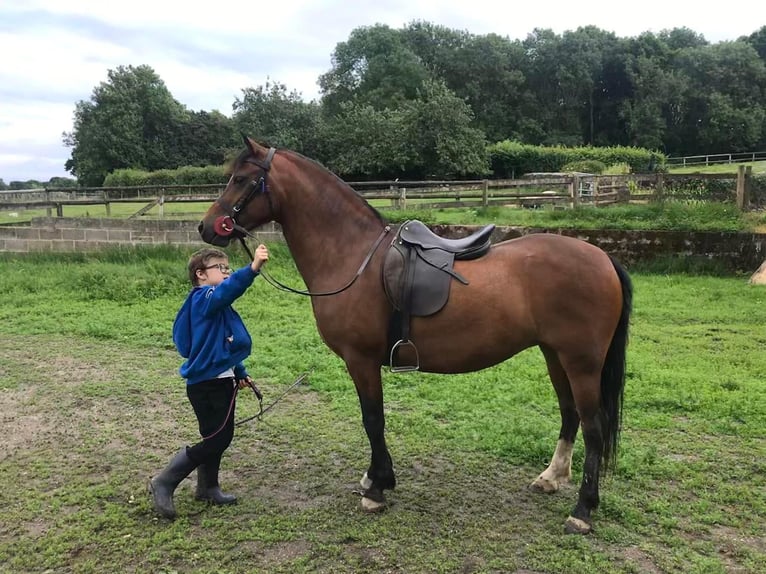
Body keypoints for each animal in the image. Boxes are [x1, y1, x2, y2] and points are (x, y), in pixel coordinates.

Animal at [200, 138, 636, 536]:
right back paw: (551, 477)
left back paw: (583, 510)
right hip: (554, 354)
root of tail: (603, 258)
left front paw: (377, 488)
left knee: (593, 426)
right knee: (570, 413)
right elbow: (374, 420)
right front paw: (375, 478)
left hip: (581, 361)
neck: (353, 255)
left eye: (241, 179)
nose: (207, 226)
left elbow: (373, 419)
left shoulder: (361, 360)